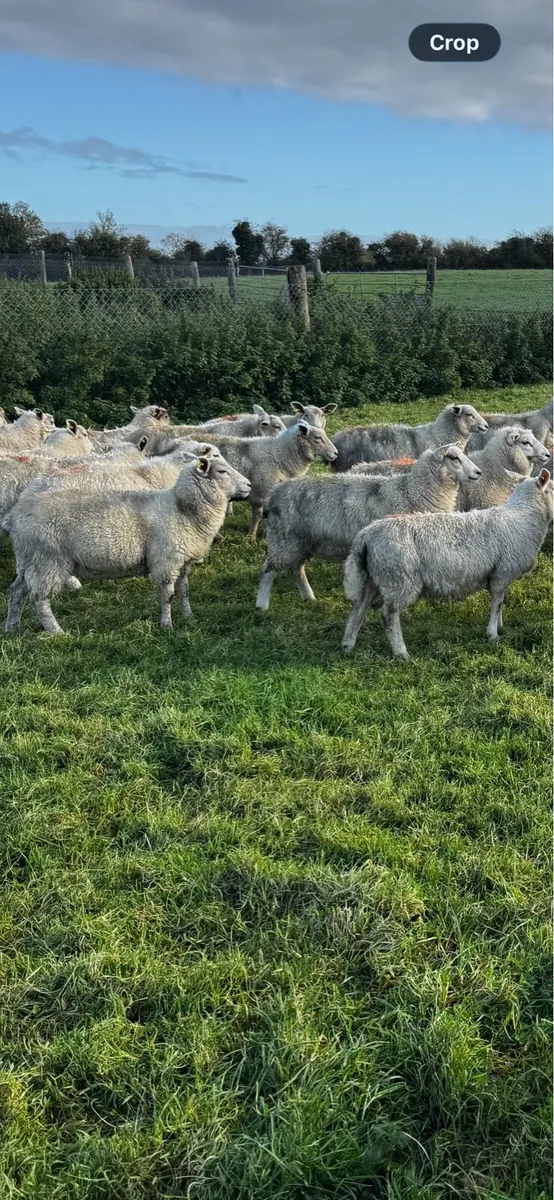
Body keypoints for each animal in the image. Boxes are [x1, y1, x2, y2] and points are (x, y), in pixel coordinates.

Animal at [4, 454, 251, 636]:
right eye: (222, 471)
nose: (249, 485)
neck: (182, 510)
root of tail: (14, 516)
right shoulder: (165, 561)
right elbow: (168, 595)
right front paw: (167, 625)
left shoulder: (182, 561)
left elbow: (184, 590)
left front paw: (189, 616)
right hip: (47, 560)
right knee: (40, 599)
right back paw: (57, 632)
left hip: (29, 560)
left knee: (17, 590)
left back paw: (11, 627)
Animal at [256, 445, 480, 610]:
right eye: (454, 458)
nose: (478, 473)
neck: (411, 491)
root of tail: (273, 494)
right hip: (283, 538)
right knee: (268, 569)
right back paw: (262, 605)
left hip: (301, 540)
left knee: (297, 568)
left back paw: (308, 597)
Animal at [341, 470, 553, 659]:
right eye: (553, 488)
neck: (525, 516)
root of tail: (365, 536)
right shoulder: (502, 573)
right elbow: (497, 603)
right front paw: (493, 634)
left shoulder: (500, 574)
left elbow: (500, 602)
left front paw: (499, 626)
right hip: (399, 578)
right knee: (388, 614)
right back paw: (401, 653)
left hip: (374, 577)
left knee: (359, 608)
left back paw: (348, 645)